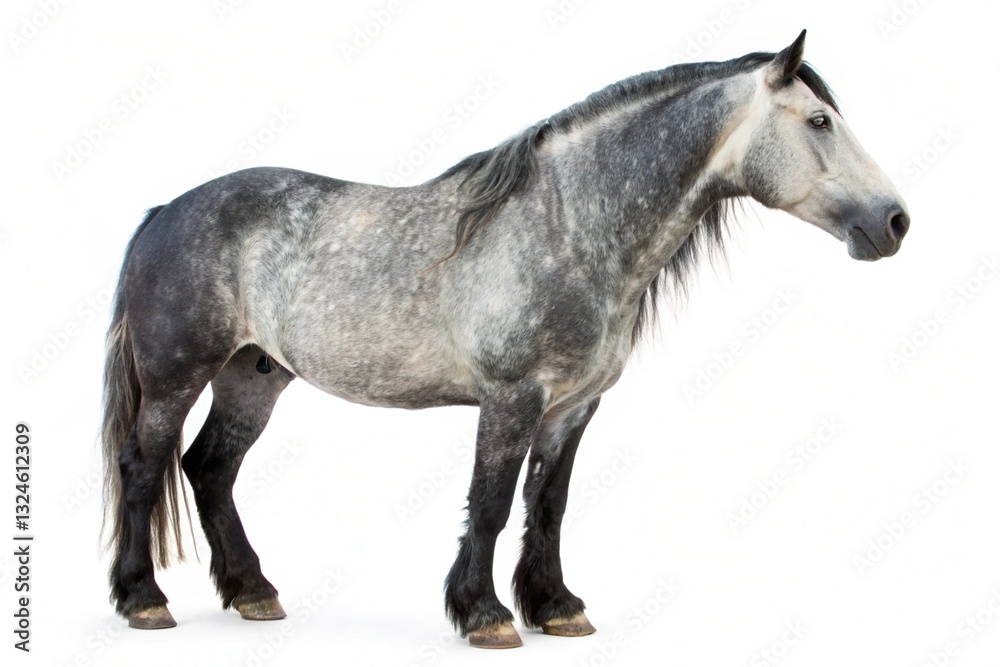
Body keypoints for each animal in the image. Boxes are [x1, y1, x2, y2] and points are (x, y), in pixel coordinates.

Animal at [101, 30, 908, 648]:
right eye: (819, 121)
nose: (894, 221)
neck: (570, 225)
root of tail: (164, 211)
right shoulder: (512, 397)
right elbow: (488, 501)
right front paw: (485, 614)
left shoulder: (574, 406)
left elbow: (547, 505)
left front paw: (557, 606)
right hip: (177, 378)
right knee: (145, 468)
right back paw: (144, 600)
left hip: (253, 374)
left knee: (210, 469)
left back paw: (253, 591)